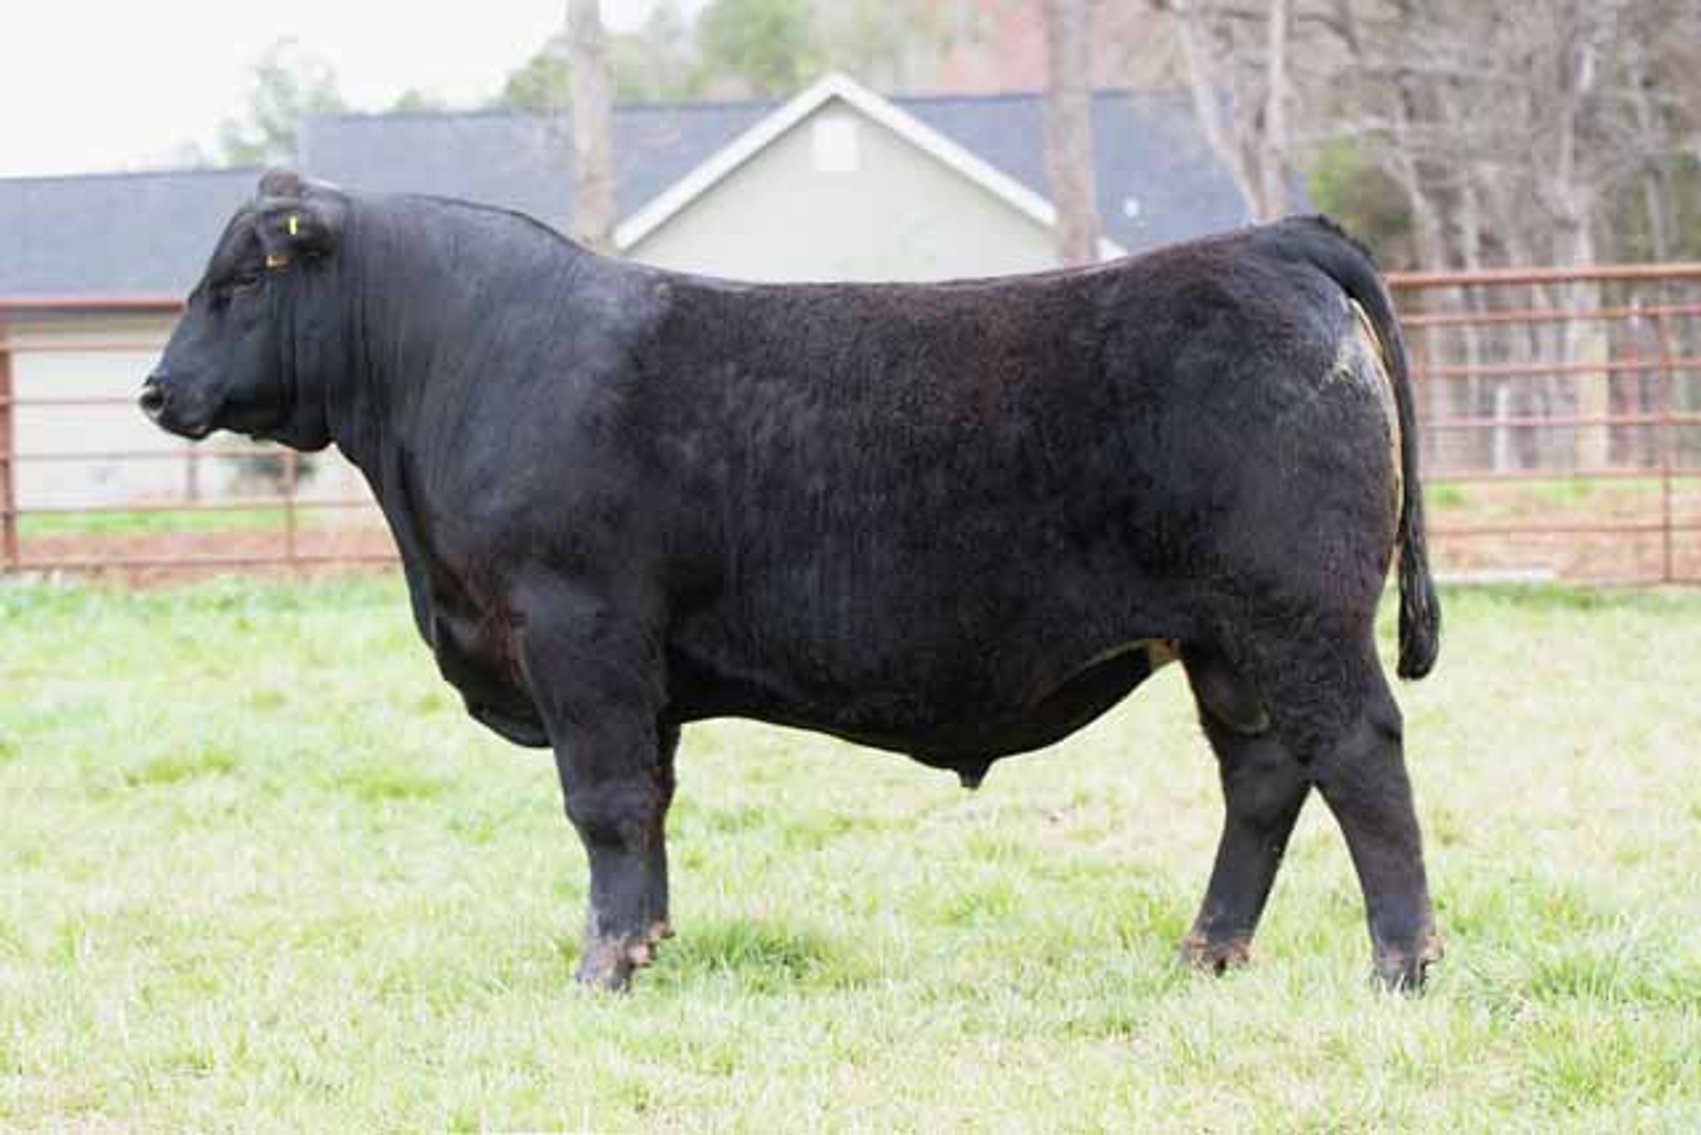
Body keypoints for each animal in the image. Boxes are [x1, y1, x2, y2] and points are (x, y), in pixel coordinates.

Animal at [142, 169, 1443, 993]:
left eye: (240, 284)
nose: (156, 389)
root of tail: (1269, 240)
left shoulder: (578, 631)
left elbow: (601, 801)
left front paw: (600, 966)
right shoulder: (644, 674)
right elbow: (650, 805)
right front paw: (649, 942)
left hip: (1299, 614)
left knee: (1360, 755)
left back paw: (1401, 963)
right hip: (1224, 642)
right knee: (1265, 778)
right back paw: (1207, 951)